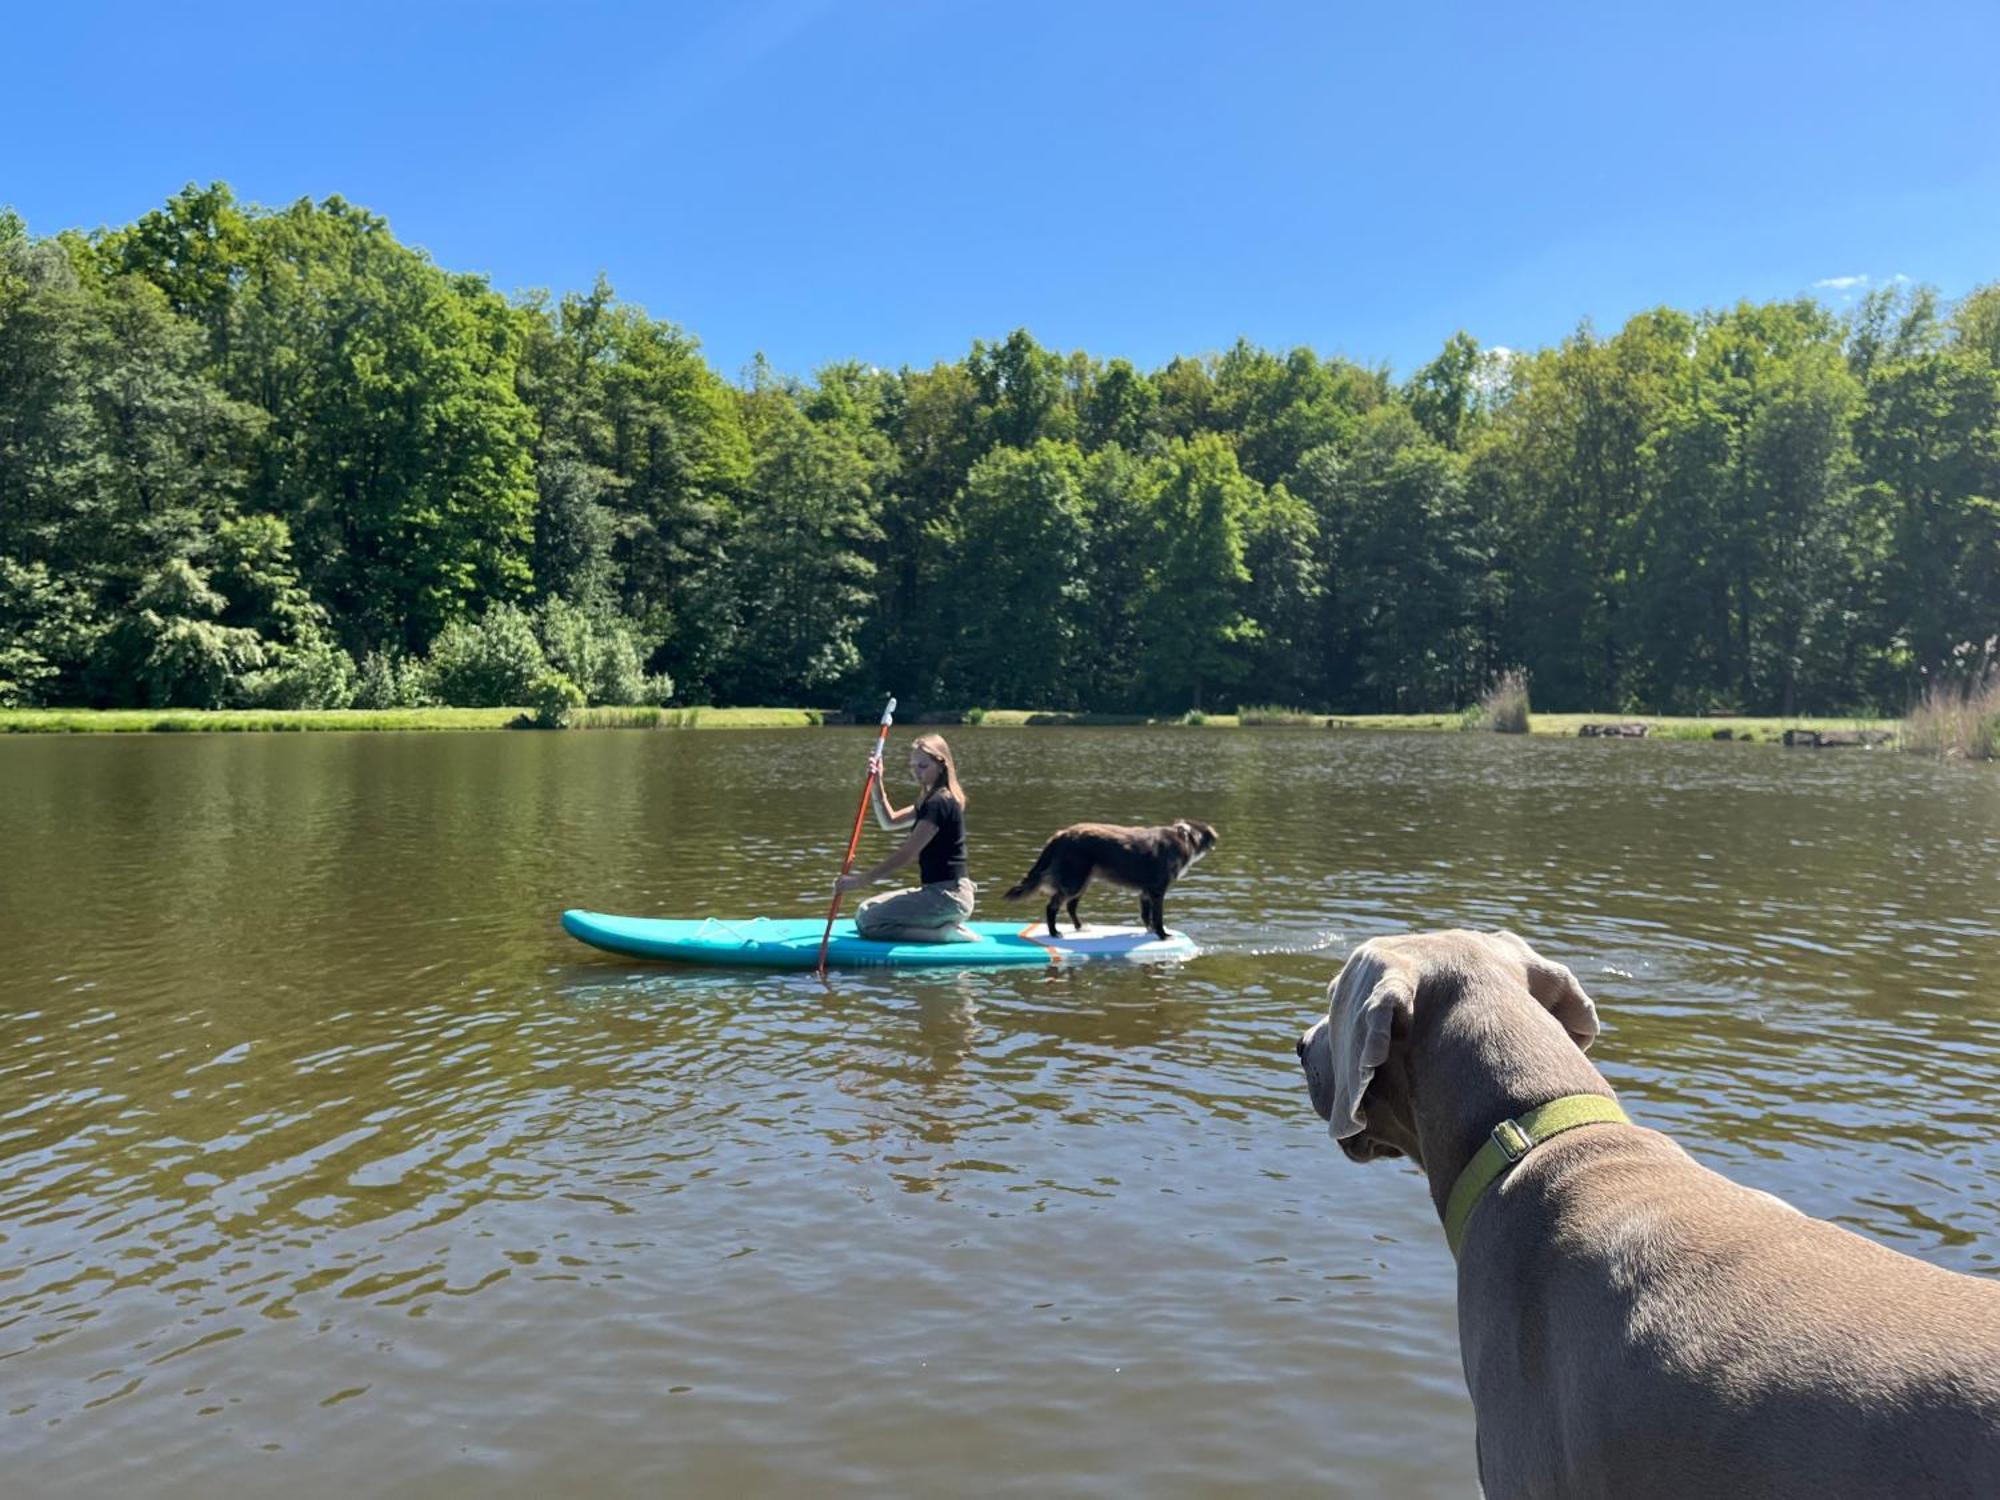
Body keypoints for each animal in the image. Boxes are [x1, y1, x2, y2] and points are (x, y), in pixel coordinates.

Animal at [1008, 824, 1208, 940]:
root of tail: (1060, 835)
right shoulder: (1157, 891)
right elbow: (1157, 918)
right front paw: (1162, 935)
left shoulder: (1145, 892)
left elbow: (1146, 915)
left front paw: (1150, 931)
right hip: (1075, 881)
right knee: (1052, 906)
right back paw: (1054, 932)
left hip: (1083, 881)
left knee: (1071, 906)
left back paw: (1080, 927)